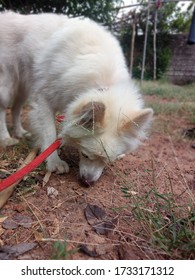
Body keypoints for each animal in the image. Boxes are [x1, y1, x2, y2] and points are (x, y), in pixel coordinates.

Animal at [0, 12, 153, 186]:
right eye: (85, 154)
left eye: (107, 161)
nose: (88, 182)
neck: (103, 84)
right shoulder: (43, 98)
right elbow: (49, 132)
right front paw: (54, 162)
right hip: (7, 83)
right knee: (3, 108)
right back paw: (6, 138)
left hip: (23, 86)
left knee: (16, 107)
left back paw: (19, 132)